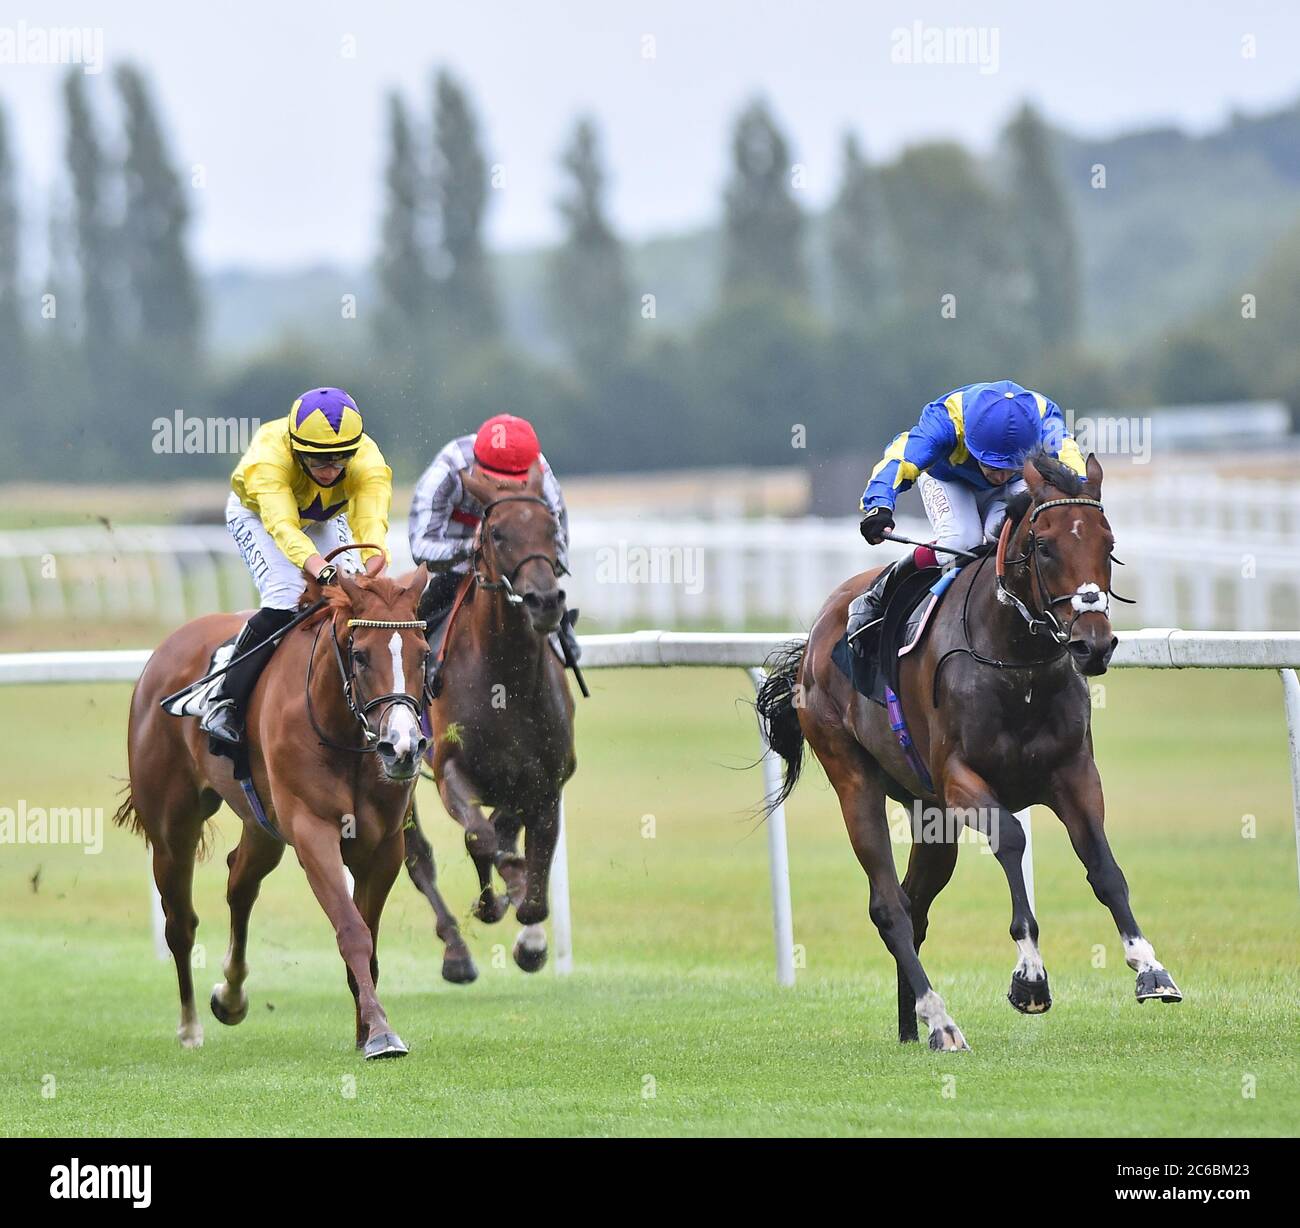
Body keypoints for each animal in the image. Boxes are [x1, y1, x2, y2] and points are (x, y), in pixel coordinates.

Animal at [115, 561, 434, 1060]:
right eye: (361, 656)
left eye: (423, 654)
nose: (402, 747)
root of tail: (166, 649)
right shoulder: (312, 831)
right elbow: (352, 931)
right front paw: (381, 1033)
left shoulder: (383, 847)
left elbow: (370, 939)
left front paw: (365, 1029)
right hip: (172, 827)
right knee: (180, 923)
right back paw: (189, 1026)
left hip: (261, 826)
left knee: (239, 882)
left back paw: (230, 996)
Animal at [400, 460, 574, 977]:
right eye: (497, 533)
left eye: (551, 528)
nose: (545, 601)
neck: (504, 680)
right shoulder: (451, 770)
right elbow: (480, 836)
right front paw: (499, 894)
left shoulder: (547, 780)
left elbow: (530, 875)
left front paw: (530, 938)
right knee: (418, 856)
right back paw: (456, 950)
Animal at [759, 454, 1185, 1049]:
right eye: (1044, 546)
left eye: (1108, 542)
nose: (1093, 645)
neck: (1017, 661)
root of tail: (817, 635)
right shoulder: (962, 778)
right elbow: (1011, 839)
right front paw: (1030, 976)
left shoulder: (1074, 772)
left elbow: (1103, 866)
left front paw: (1150, 968)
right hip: (854, 779)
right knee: (888, 906)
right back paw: (940, 1020)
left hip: (928, 811)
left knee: (914, 903)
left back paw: (911, 1026)